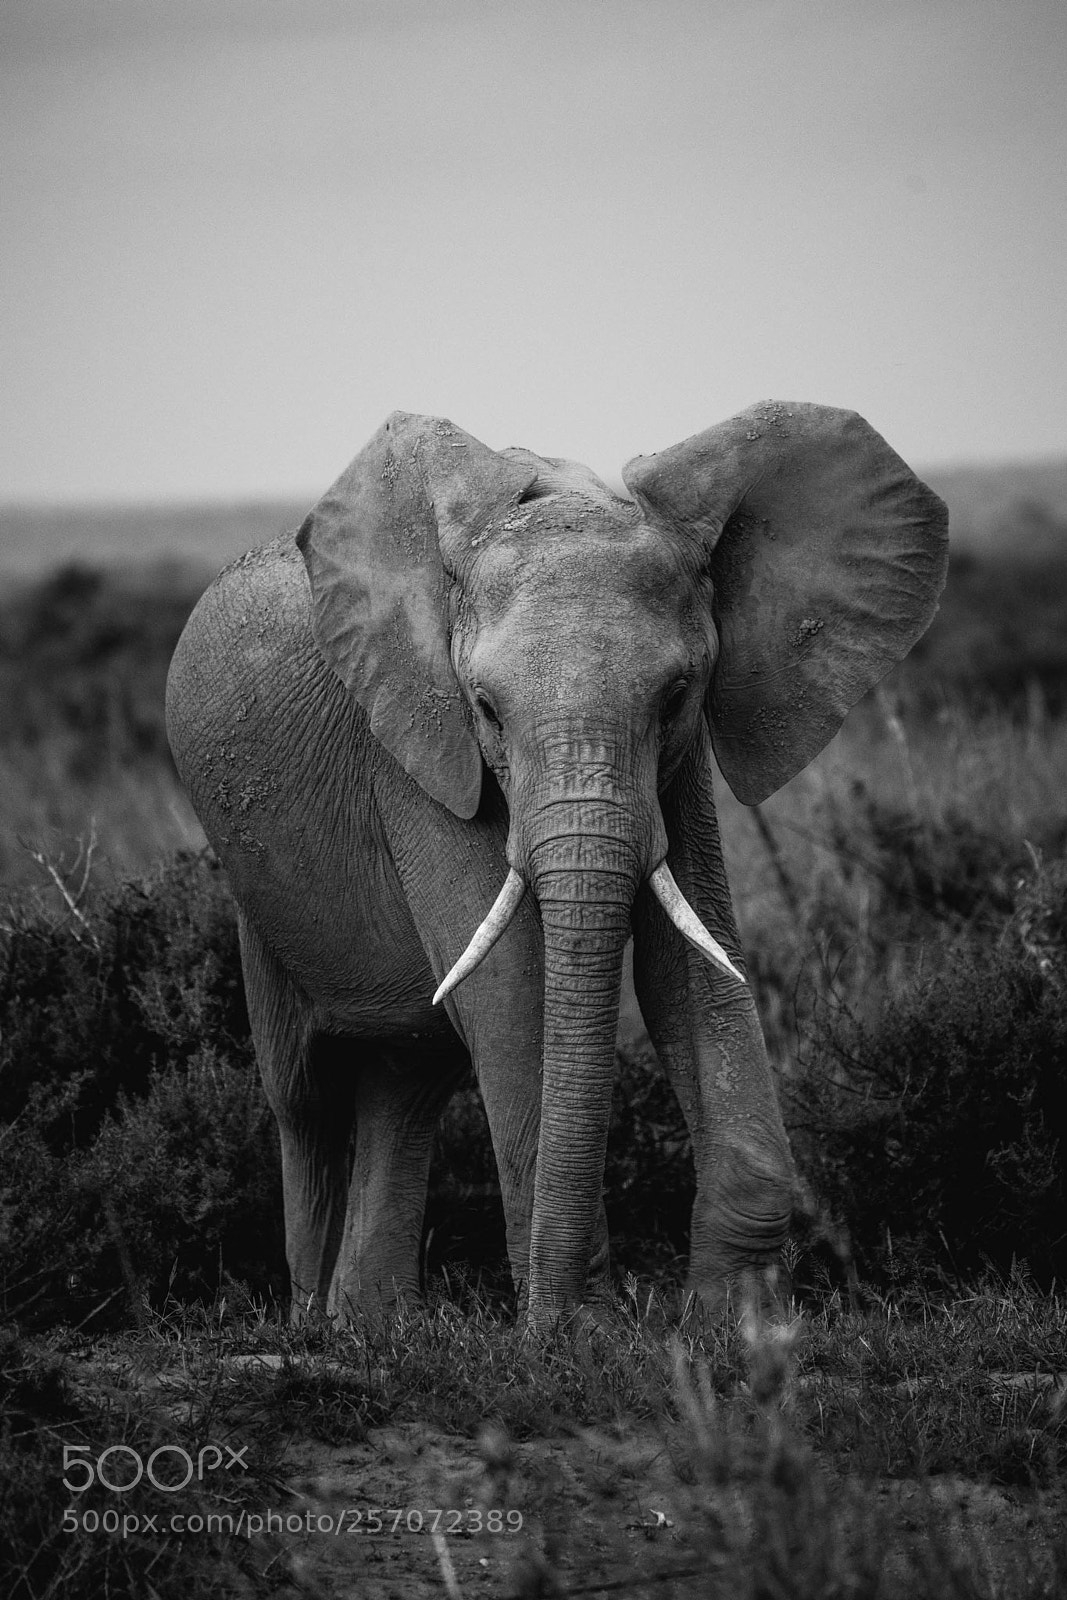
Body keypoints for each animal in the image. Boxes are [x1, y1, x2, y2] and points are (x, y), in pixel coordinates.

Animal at [165, 401, 948, 1327]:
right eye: (485, 708)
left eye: (675, 697)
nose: (555, 1322)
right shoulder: (418, 753)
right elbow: (509, 989)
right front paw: (579, 1331)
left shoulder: (677, 767)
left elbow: (688, 969)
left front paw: (739, 1320)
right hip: (255, 889)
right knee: (304, 1094)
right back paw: (317, 1322)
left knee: (405, 1076)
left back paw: (375, 1327)